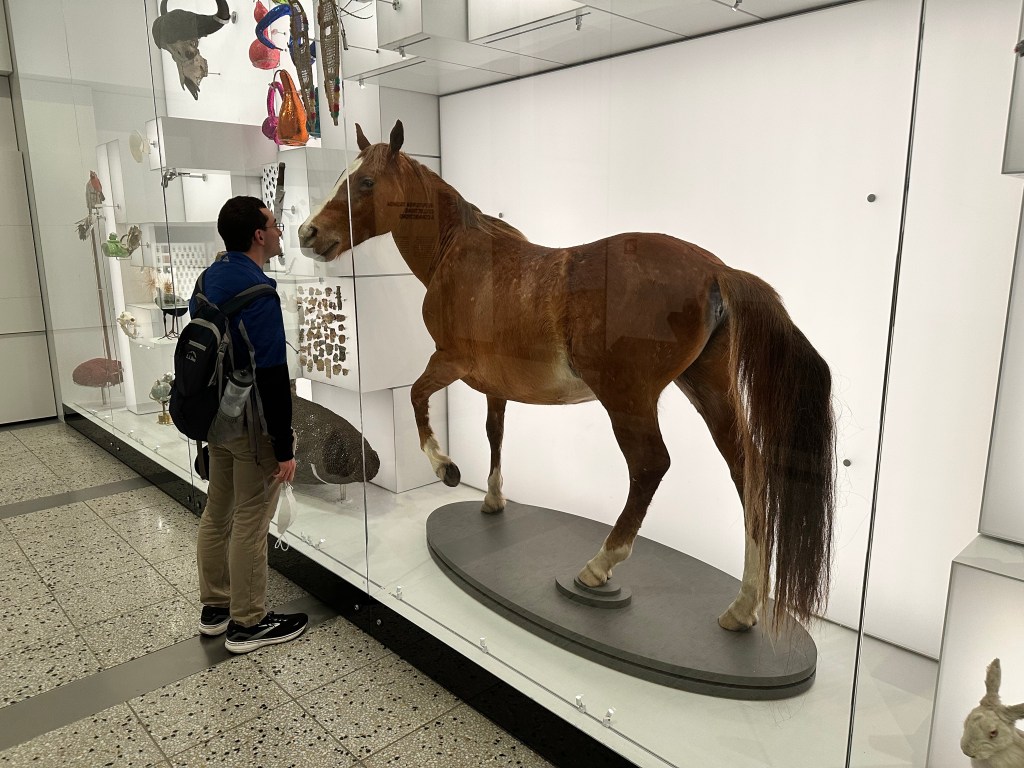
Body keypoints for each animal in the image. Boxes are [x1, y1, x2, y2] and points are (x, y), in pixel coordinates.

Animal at [298, 120, 836, 631]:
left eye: (366, 181)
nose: (307, 234)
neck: (461, 255)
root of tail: (717, 270)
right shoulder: (495, 386)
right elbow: (494, 433)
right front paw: (492, 499)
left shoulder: (449, 360)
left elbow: (415, 398)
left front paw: (446, 469)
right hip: (707, 388)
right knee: (746, 469)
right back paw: (743, 606)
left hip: (628, 398)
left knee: (650, 467)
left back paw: (599, 566)